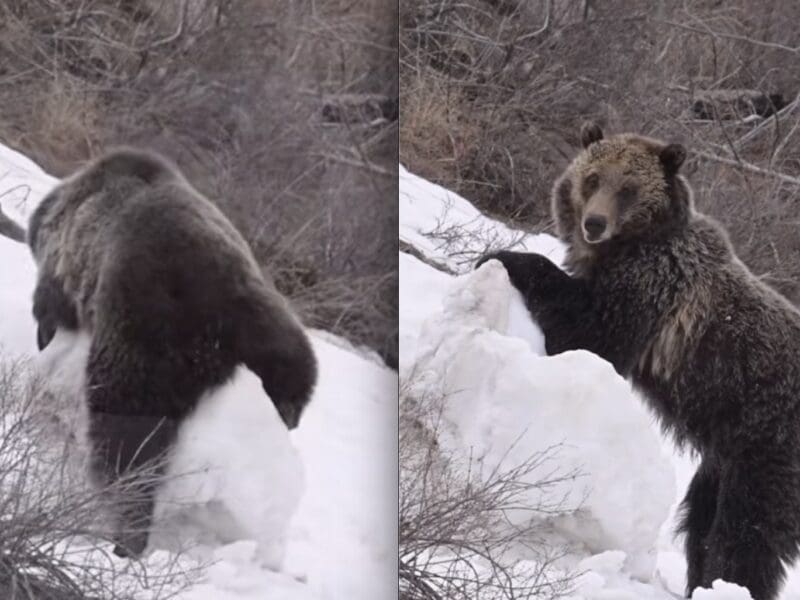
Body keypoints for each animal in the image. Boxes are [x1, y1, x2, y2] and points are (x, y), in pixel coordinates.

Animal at [27, 148, 317, 558]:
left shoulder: (68, 268)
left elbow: (50, 307)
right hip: (283, 342)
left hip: (149, 343)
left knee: (126, 439)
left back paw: (125, 535)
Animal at [477, 123, 800, 600]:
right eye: (592, 178)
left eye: (628, 188)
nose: (594, 223)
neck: (626, 247)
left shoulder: (653, 287)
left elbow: (591, 334)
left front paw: (504, 256)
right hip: (725, 453)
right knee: (700, 517)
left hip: (768, 440)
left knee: (747, 528)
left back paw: (729, 582)